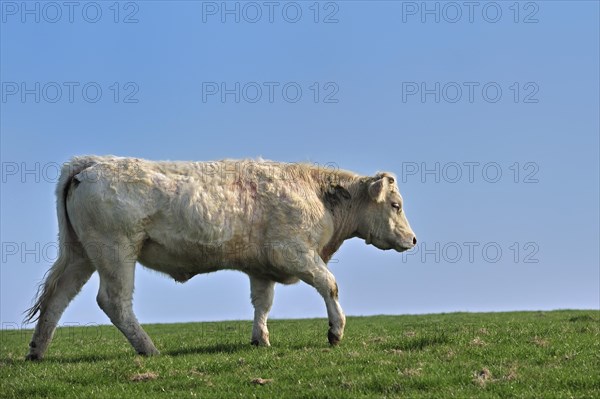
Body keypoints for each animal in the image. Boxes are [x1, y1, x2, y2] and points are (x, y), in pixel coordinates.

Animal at [24, 156, 418, 360]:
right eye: (396, 205)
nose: (413, 239)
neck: (318, 195)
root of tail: (92, 163)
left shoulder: (262, 267)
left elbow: (262, 303)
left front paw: (260, 339)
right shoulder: (293, 252)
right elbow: (329, 285)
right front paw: (335, 331)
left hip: (80, 254)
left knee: (58, 297)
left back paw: (37, 352)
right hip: (116, 251)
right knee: (114, 302)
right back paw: (149, 349)